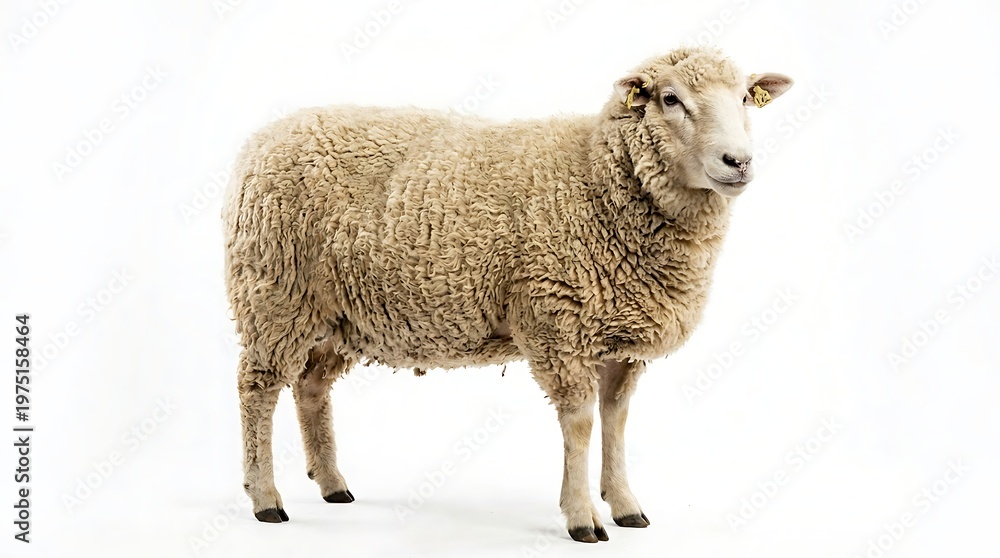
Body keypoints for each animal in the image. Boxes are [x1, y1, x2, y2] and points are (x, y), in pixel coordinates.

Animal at [223, 46, 792, 543]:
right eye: (670, 99)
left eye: (746, 98)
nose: (737, 161)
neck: (596, 181)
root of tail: (261, 138)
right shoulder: (556, 321)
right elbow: (581, 423)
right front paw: (582, 517)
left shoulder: (619, 337)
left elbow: (616, 419)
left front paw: (626, 504)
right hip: (274, 294)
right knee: (258, 389)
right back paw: (265, 498)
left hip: (336, 314)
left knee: (311, 387)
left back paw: (332, 483)